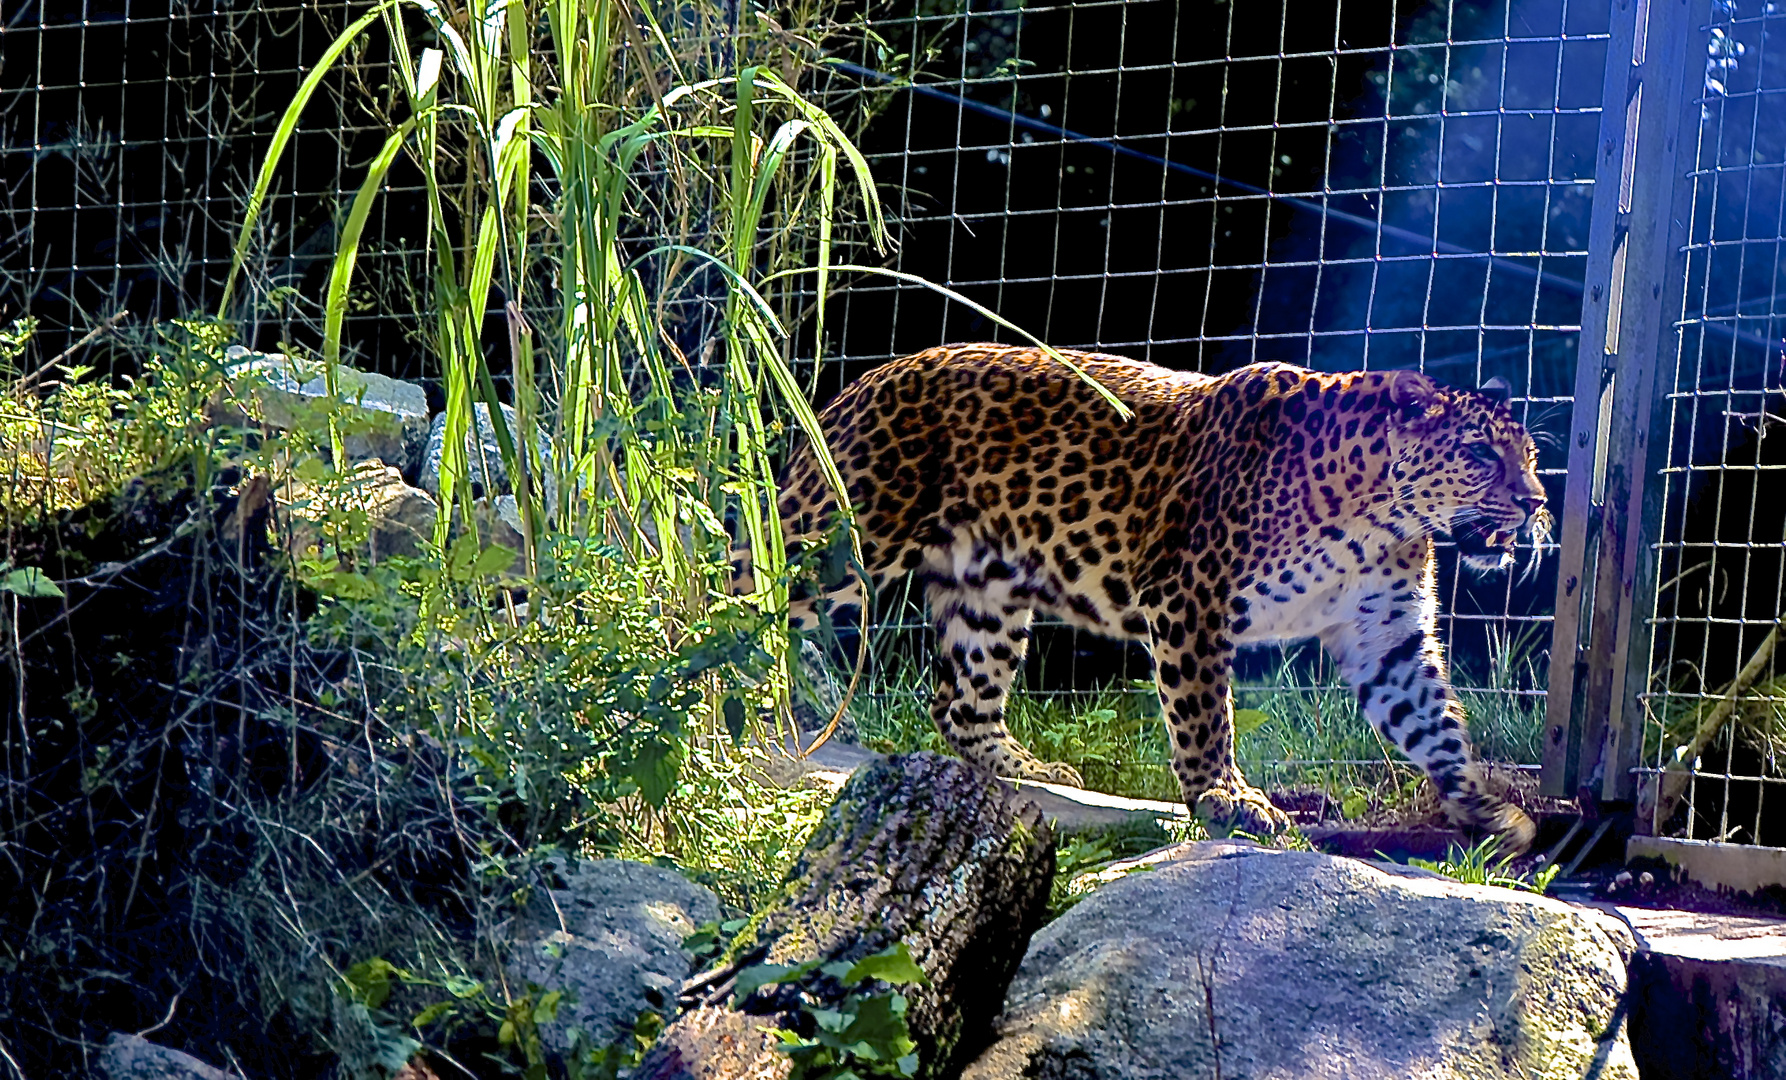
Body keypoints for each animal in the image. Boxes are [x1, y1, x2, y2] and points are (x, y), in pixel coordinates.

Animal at [753, 342, 1550, 849]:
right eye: (1481, 454)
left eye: (1531, 455)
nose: (1537, 502)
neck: (1377, 515)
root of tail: (862, 382)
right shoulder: (1189, 595)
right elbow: (1204, 713)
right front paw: (1225, 798)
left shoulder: (1384, 634)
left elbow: (1433, 723)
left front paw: (1485, 808)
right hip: (839, 541)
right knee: (749, 598)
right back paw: (744, 709)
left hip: (989, 592)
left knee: (956, 700)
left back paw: (1026, 768)